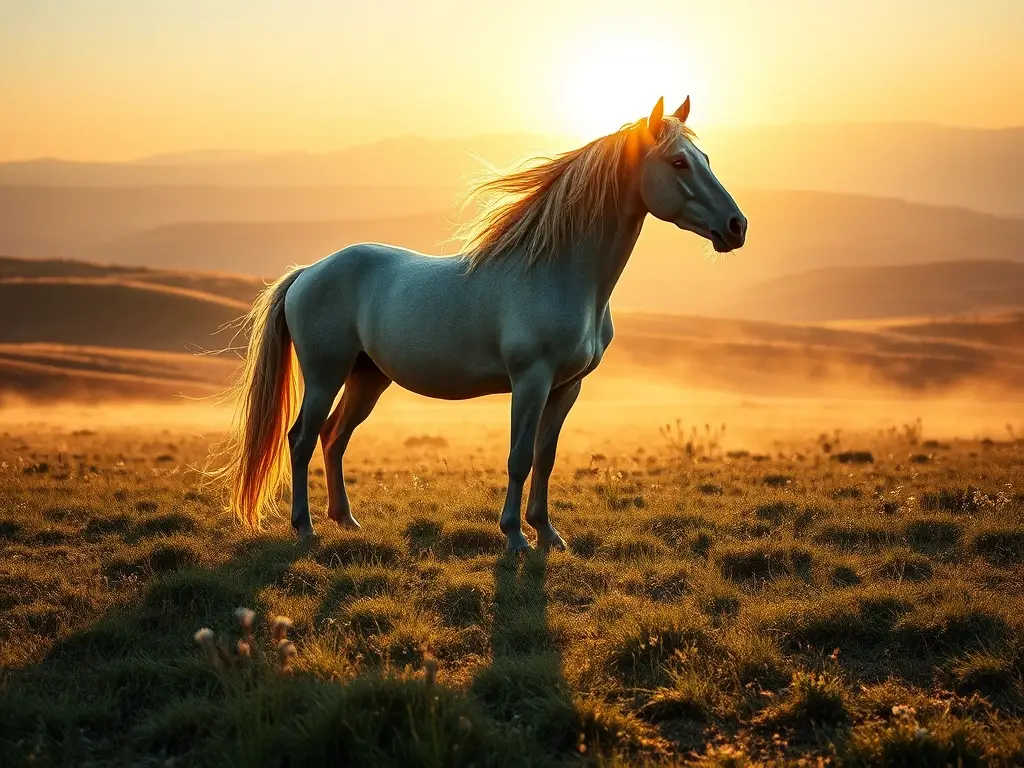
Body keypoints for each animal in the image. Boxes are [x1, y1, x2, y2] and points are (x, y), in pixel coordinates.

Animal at [214, 96, 746, 552]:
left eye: (705, 158)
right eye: (679, 163)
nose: (737, 227)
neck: (559, 271)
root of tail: (307, 272)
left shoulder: (566, 387)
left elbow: (546, 458)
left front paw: (547, 534)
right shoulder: (531, 381)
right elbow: (519, 457)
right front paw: (515, 537)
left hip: (368, 378)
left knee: (333, 437)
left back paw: (346, 520)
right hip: (326, 375)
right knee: (302, 440)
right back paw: (305, 529)